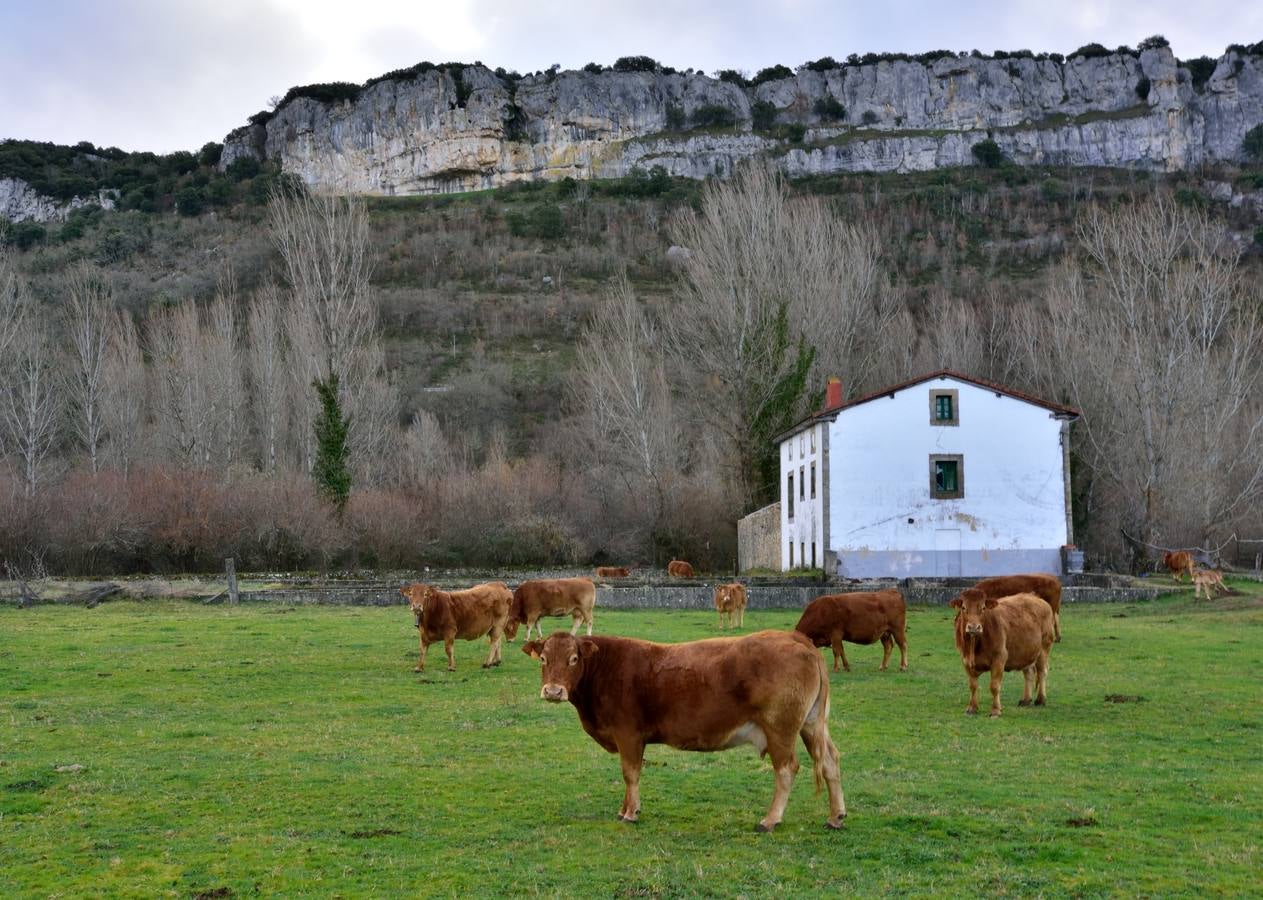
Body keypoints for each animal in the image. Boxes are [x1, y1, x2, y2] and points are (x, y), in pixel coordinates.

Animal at [522, 628, 848, 833]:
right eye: (543, 659)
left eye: (573, 659)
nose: (553, 691)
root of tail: (796, 638)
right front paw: (624, 808)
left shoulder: (628, 733)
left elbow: (630, 773)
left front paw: (630, 813)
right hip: (812, 724)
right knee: (830, 761)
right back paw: (836, 817)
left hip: (780, 727)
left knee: (786, 769)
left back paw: (770, 820)